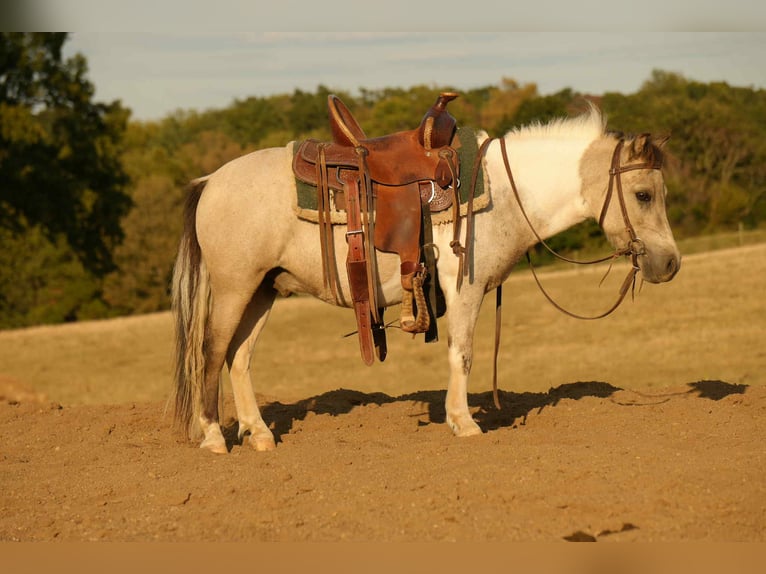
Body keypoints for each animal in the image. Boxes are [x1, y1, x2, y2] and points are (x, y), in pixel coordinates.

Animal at [171, 104, 681, 454]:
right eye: (643, 194)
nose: (671, 264)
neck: (506, 192)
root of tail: (210, 181)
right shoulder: (465, 291)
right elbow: (463, 354)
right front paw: (464, 423)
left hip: (263, 290)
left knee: (239, 358)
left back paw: (258, 434)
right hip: (235, 288)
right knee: (211, 354)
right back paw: (214, 437)